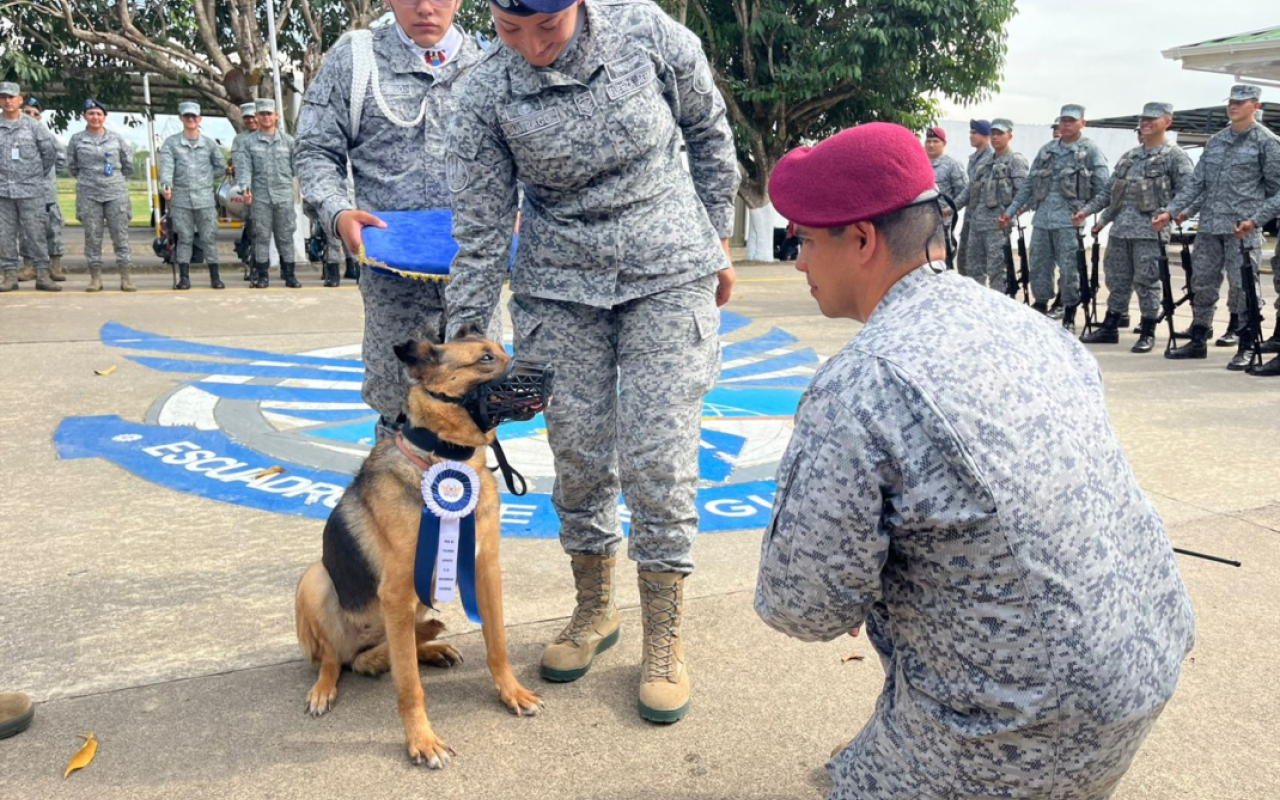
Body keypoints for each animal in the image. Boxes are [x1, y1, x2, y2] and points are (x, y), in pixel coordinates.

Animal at [293, 326, 540, 768]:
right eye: (485, 359)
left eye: (499, 349)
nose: (550, 369)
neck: (444, 459)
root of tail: (360, 649)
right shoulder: (394, 593)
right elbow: (409, 685)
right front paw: (421, 740)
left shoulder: (485, 571)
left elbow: (497, 644)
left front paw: (511, 692)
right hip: (316, 579)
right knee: (334, 659)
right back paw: (324, 687)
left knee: (394, 647)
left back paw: (431, 649)